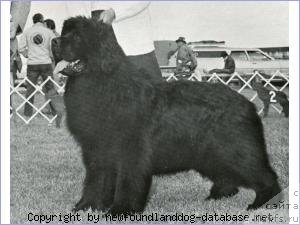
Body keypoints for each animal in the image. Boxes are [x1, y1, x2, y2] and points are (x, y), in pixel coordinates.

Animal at [54, 16, 282, 214]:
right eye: (64, 33)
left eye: (77, 36)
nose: (54, 41)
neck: (102, 81)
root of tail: (246, 102)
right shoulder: (95, 150)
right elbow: (95, 180)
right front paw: (87, 206)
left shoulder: (131, 149)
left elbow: (127, 180)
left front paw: (121, 210)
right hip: (211, 152)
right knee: (227, 177)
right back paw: (215, 197)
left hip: (236, 149)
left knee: (263, 174)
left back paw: (263, 203)